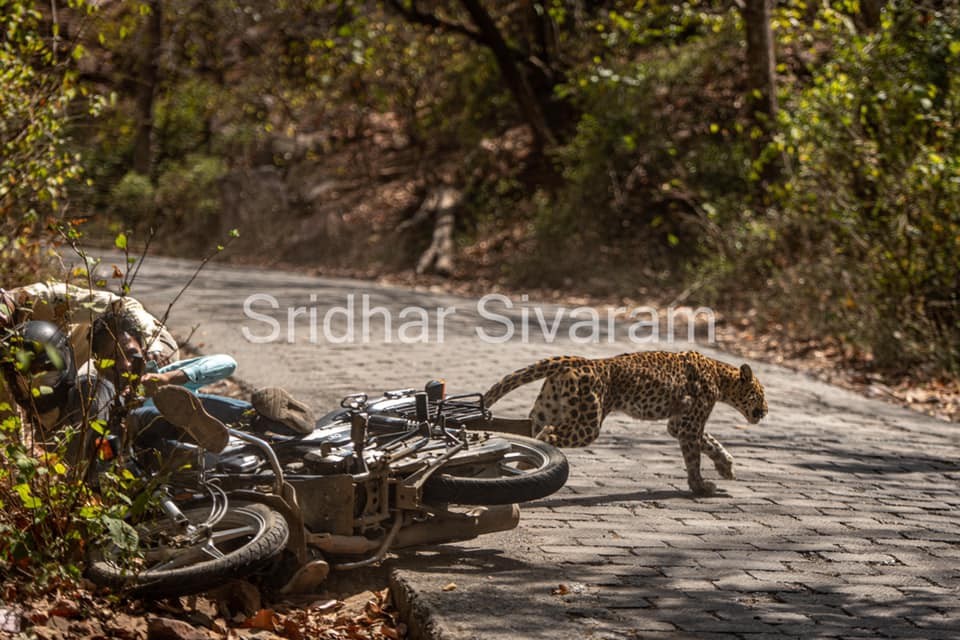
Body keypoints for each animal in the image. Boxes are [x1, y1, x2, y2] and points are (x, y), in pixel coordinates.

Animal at [484, 350, 768, 496]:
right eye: (761, 393)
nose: (765, 411)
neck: (721, 376)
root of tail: (581, 361)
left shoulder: (679, 424)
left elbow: (710, 442)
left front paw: (725, 467)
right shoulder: (689, 425)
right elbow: (694, 456)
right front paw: (700, 486)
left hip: (546, 410)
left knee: (529, 435)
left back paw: (522, 470)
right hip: (588, 424)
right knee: (549, 435)